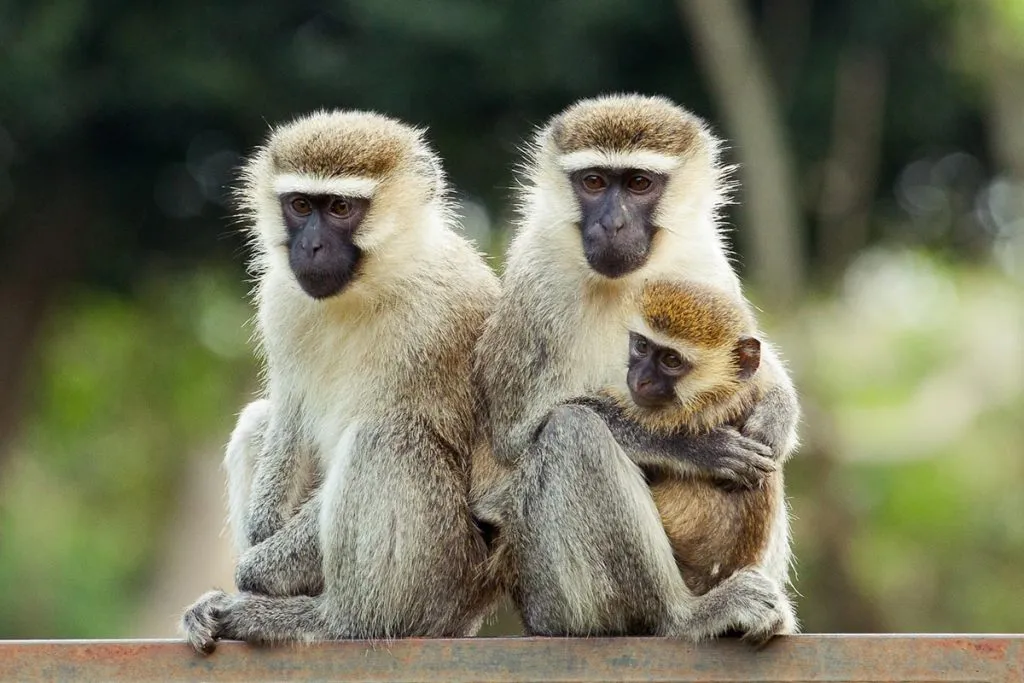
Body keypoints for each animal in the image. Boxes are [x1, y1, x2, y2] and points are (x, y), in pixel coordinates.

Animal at [180, 109, 501, 654]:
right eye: (300, 205)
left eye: (340, 208)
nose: (310, 246)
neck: (369, 288)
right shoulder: (281, 300)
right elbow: (289, 416)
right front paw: (259, 540)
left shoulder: (439, 321)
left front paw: (256, 569)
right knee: (260, 419)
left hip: (444, 579)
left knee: (386, 437)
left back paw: (333, 621)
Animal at [472, 94, 799, 641]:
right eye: (594, 182)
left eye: (639, 183)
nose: (612, 225)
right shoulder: (538, 285)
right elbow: (514, 443)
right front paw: (692, 447)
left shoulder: (702, 258)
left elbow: (747, 362)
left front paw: (778, 410)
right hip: (552, 601)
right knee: (573, 431)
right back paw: (685, 616)